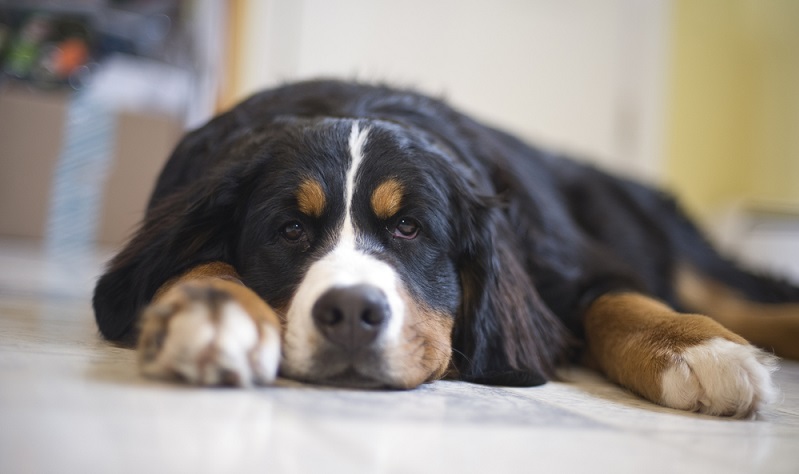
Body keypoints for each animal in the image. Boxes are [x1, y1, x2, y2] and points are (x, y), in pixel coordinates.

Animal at [90, 80, 796, 418]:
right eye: (290, 230)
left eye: (409, 229)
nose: (352, 314)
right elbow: (194, 262)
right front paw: (216, 312)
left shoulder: (574, 264)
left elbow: (618, 302)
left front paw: (700, 351)